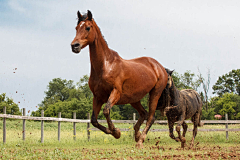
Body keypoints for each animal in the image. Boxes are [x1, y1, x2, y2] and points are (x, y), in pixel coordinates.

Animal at [70, 10, 167, 149]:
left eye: (88, 27)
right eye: (76, 28)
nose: (74, 46)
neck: (105, 66)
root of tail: (159, 66)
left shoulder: (115, 92)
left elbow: (106, 111)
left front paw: (116, 132)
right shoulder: (97, 97)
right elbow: (94, 120)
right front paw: (115, 132)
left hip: (155, 93)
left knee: (151, 117)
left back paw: (140, 140)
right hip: (134, 99)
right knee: (143, 113)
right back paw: (137, 135)